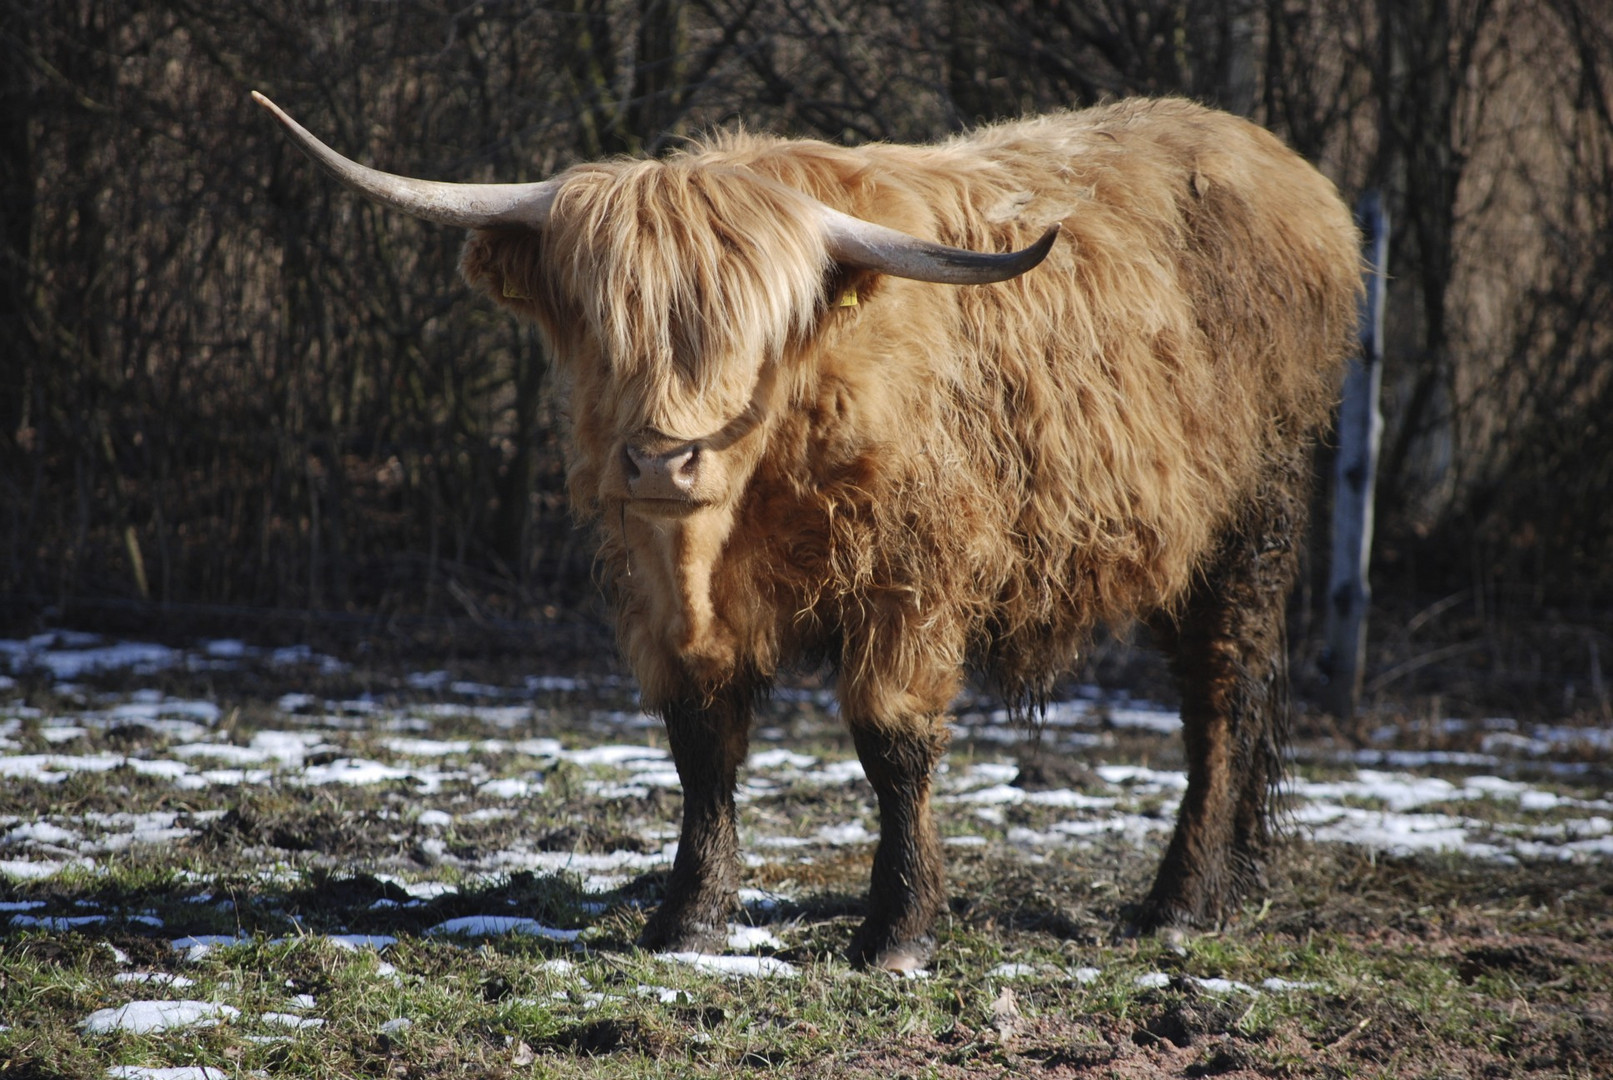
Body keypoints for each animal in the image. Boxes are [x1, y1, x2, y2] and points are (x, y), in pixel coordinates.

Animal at [254, 91, 1361, 973]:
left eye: (752, 334)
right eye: (604, 327)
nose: (663, 462)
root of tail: (1291, 174)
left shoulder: (911, 583)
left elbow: (891, 746)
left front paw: (895, 931)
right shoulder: (661, 596)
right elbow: (700, 745)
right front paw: (688, 919)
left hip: (1250, 527)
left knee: (1220, 701)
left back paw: (1176, 902)